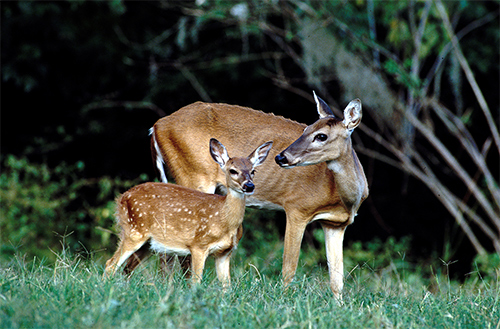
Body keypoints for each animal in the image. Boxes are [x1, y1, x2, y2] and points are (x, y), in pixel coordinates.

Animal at [105, 136, 274, 284]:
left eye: (253, 171)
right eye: (233, 170)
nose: (249, 186)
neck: (224, 221)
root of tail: (121, 198)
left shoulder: (225, 253)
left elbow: (227, 287)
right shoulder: (198, 245)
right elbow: (195, 281)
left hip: (148, 242)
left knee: (126, 268)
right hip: (134, 231)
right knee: (110, 265)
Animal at [150, 93, 370, 298]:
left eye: (321, 136)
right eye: (306, 129)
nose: (281, 157)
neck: (344, 198)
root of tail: (156, 126)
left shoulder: (335, 224)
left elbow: (337, 278)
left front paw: (338, 305)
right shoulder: (297, 208)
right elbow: (289, 267)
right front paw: (284, 300)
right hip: (194, 177)